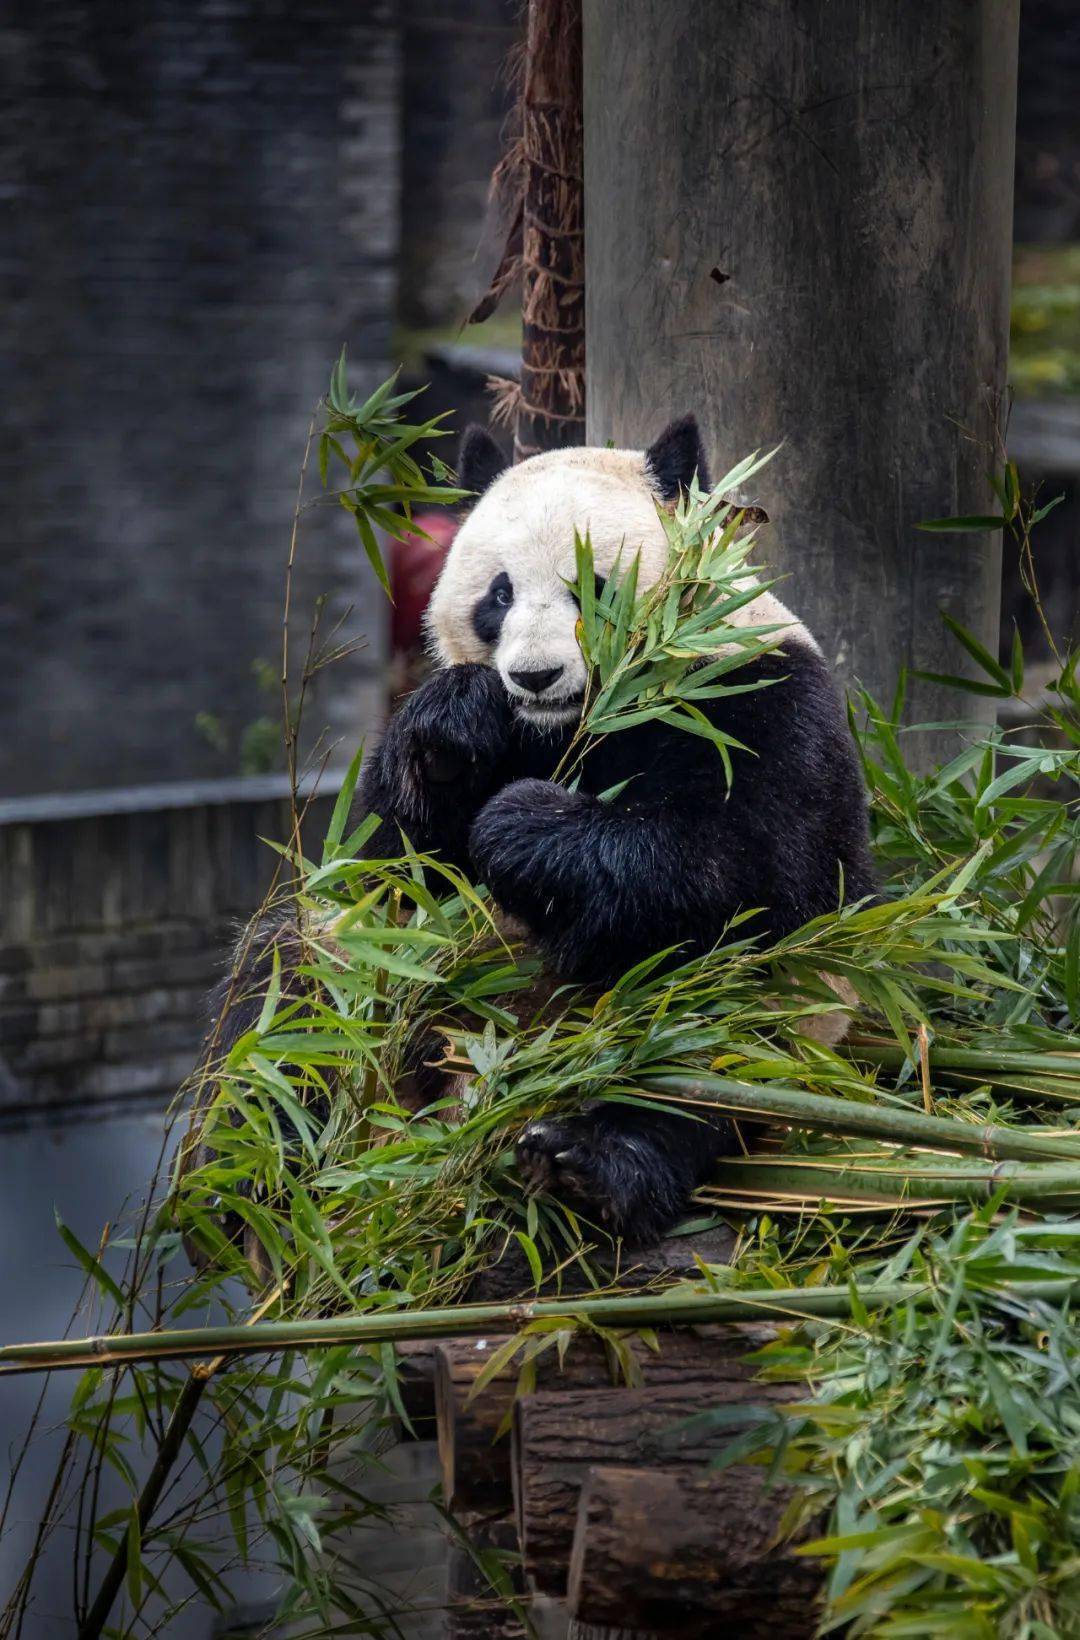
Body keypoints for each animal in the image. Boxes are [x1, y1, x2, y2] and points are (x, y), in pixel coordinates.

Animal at [357, 419, 878, 1239]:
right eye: (499, 594)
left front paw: (520, 824)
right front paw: (450, 733)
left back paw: (591, 1160)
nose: (536, 677)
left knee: (696, 1059)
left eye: (593, 586)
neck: (590, 715)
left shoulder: (759, 695)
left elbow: (748, 875)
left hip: (756, 1037)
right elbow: (393, 878)